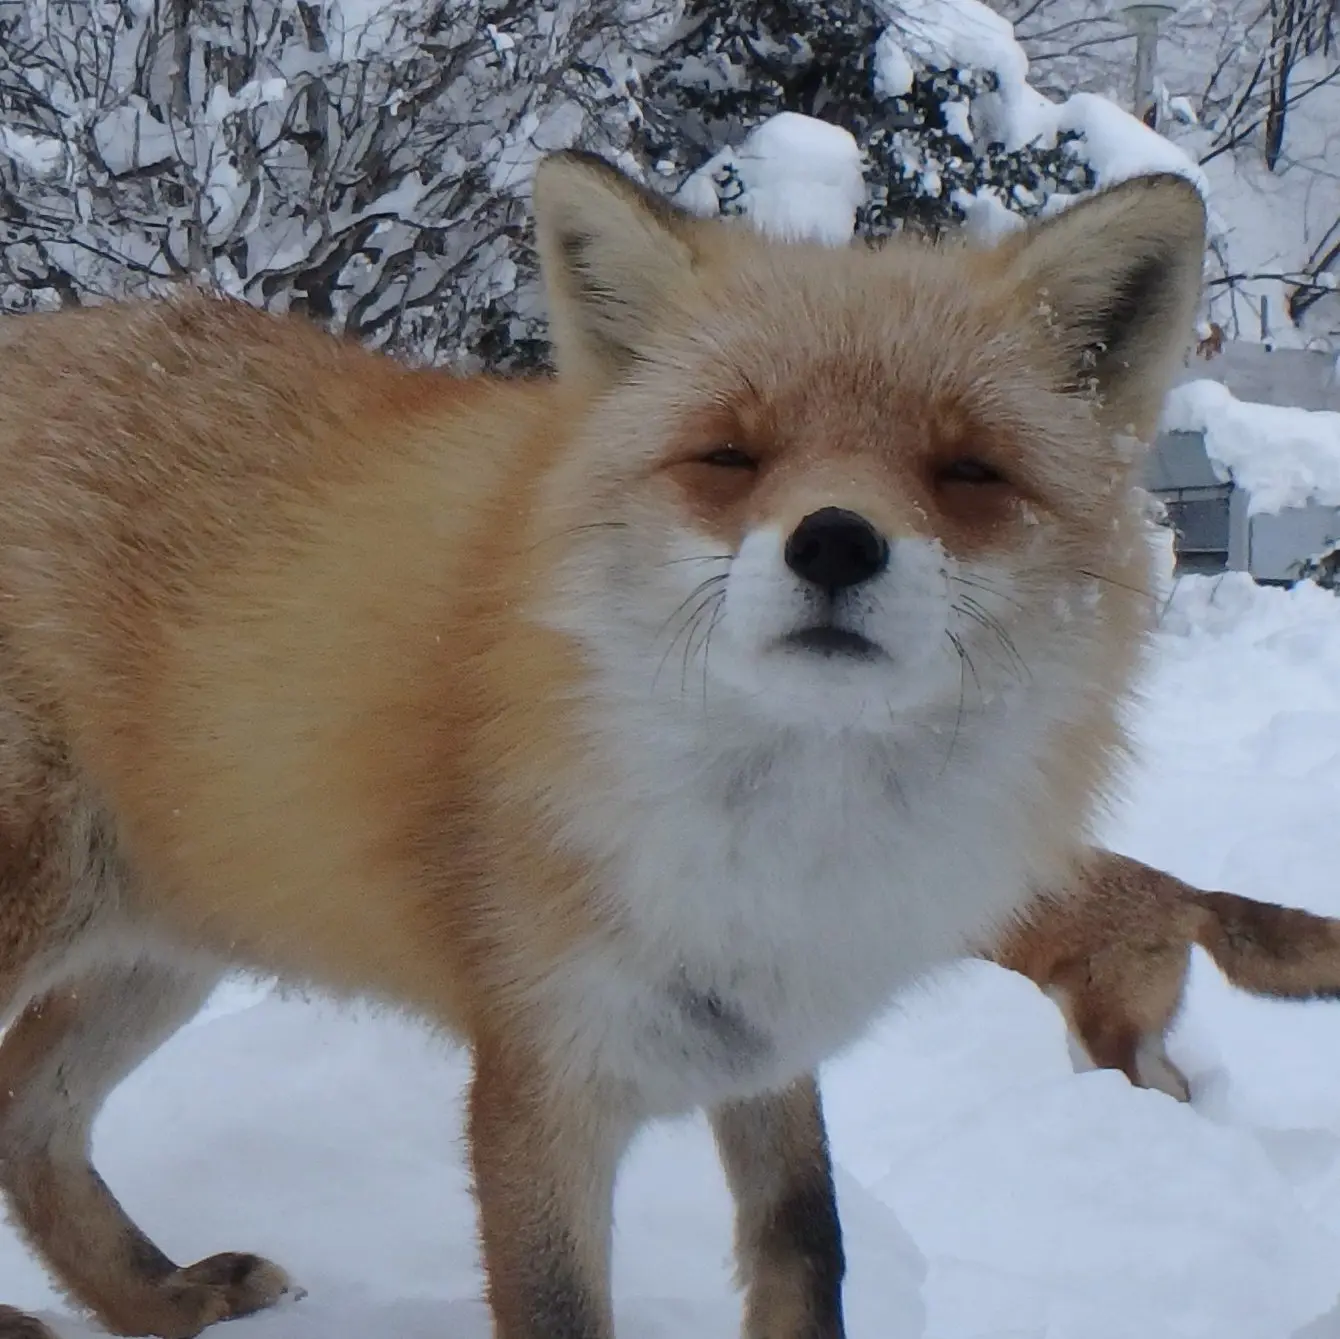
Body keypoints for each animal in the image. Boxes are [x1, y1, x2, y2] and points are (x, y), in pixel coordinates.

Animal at [0, 149, 1204, 1339]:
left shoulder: (764, 1039)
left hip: (167, 942)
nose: (832, 541)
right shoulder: (541, 1065)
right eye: (730, 454)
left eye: (968, 470)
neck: (780, 846)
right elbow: (562, 1304)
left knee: (27, 1113)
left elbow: (805, 1242)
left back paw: (158, 1302)